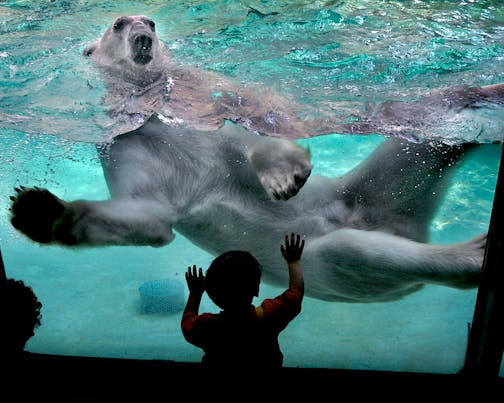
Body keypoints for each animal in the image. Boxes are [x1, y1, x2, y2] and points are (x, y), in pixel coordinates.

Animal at [8, 15, 504, 304]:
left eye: (149, 20)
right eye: (118, 24)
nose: (145, 37)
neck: (149, 101)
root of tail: (405, 224)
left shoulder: (198, 100)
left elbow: (251, 127)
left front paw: (284, 175)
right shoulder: (126, 142)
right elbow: (147, 216)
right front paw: (37, 209)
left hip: (360, 191)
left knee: (425, 122)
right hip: (364, 215)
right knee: (356, 246)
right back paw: (471, 253)